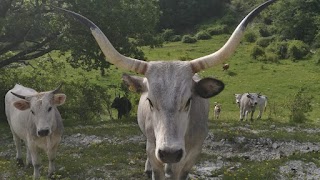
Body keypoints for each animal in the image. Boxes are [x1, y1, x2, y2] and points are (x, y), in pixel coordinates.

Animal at [55, 0, 276, 179]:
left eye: (188, 101)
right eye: (150, 101)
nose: (170, 152)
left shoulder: (191, 154)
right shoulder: (155, 150)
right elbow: (156, 168)